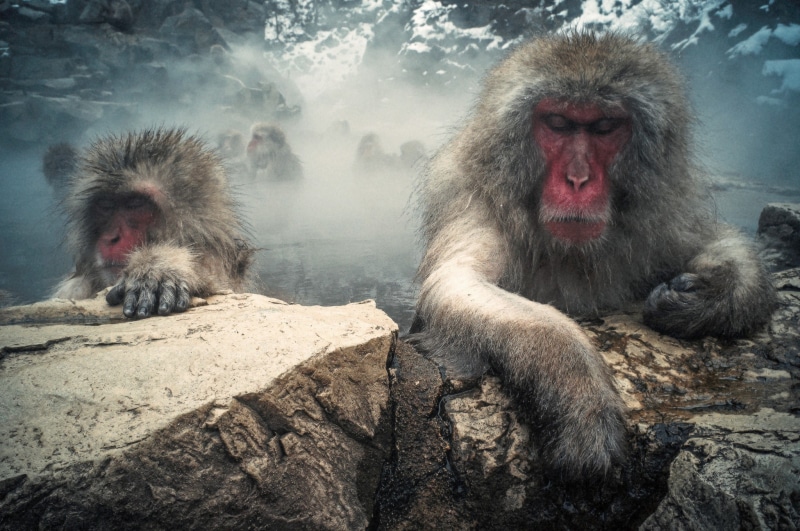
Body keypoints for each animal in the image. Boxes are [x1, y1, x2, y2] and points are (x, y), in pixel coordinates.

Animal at [410, 31, 776, 477]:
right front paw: (576, 382)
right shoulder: (475, 206)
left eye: (604, 127)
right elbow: (457, 282)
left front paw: (709, 297)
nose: (578, 179)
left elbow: (716, 239)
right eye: (558, 124)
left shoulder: (660, 217)